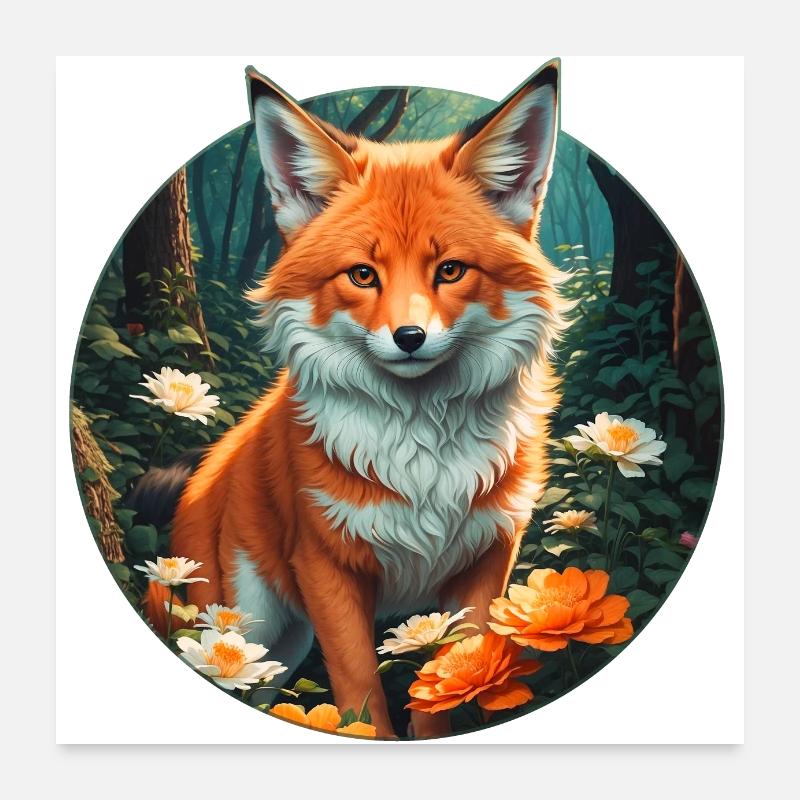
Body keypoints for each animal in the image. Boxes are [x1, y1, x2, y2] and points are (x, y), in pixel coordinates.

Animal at [138, 60, 569, 739]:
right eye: (363, 275)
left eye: (450, 270)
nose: (410, 337)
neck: (422, 457)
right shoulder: (326, 566)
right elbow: (360, 691)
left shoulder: (487, 558)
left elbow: (448, 687)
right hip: (245, 629)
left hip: (277, 648)